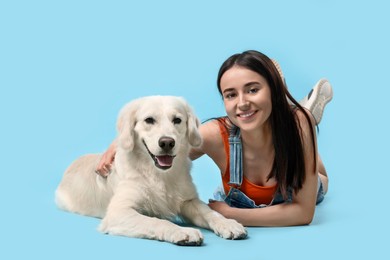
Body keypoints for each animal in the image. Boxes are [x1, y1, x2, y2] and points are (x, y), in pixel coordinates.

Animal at [54, 96, 247, 246]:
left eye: (177, 120)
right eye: (149, 120)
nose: (167, 142)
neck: (159, 174)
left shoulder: (189, 200)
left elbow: (210, 212)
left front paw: (229, 224)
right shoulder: (119, 212)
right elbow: (156, 221)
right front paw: (183, 232)